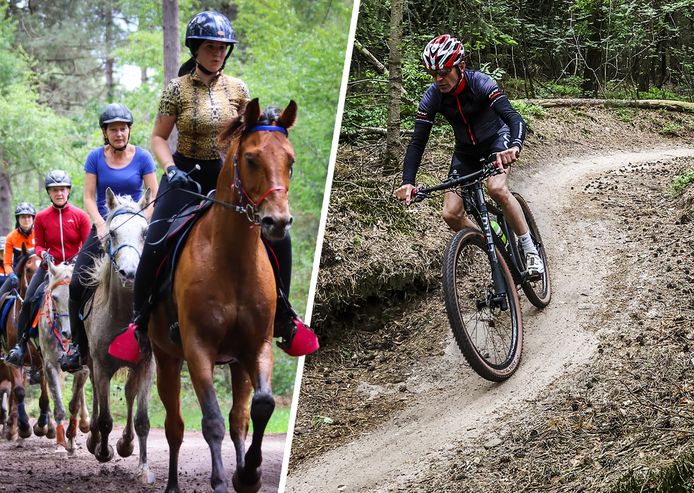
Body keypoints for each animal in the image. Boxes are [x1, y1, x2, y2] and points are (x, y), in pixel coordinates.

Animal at [37, 260, 89, 452]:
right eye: (54, 297)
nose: (69, 332)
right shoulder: (50, 365)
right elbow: (58, 405)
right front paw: (61, 441)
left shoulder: (83, 368)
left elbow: (75, 404)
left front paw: (72, 438)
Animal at [148, 99, 294, 492]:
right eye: (251, 159)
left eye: (290, 160)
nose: (277, 222)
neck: (231, 261)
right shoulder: (198, 348)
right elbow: (210, 419)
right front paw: (220, 481)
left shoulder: (256, 345)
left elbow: (261, 405)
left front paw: (248, 474)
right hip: (166, 358)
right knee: (174, 426)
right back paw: (172, 484)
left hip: (237, 363)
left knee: (239, 418)